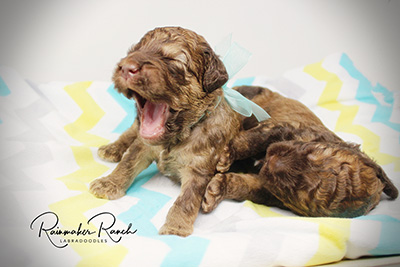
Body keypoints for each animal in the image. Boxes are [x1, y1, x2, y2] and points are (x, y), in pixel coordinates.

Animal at [90, 26, 241, 237]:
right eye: (133, 51)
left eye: (171, 60)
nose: (126, 67)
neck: (178, 135)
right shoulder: (142, 146)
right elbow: (127, 163)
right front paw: (108, 183)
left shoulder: (198, 170)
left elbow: (187, 199)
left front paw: (175, 227)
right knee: (131, 130)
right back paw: (112, 148)